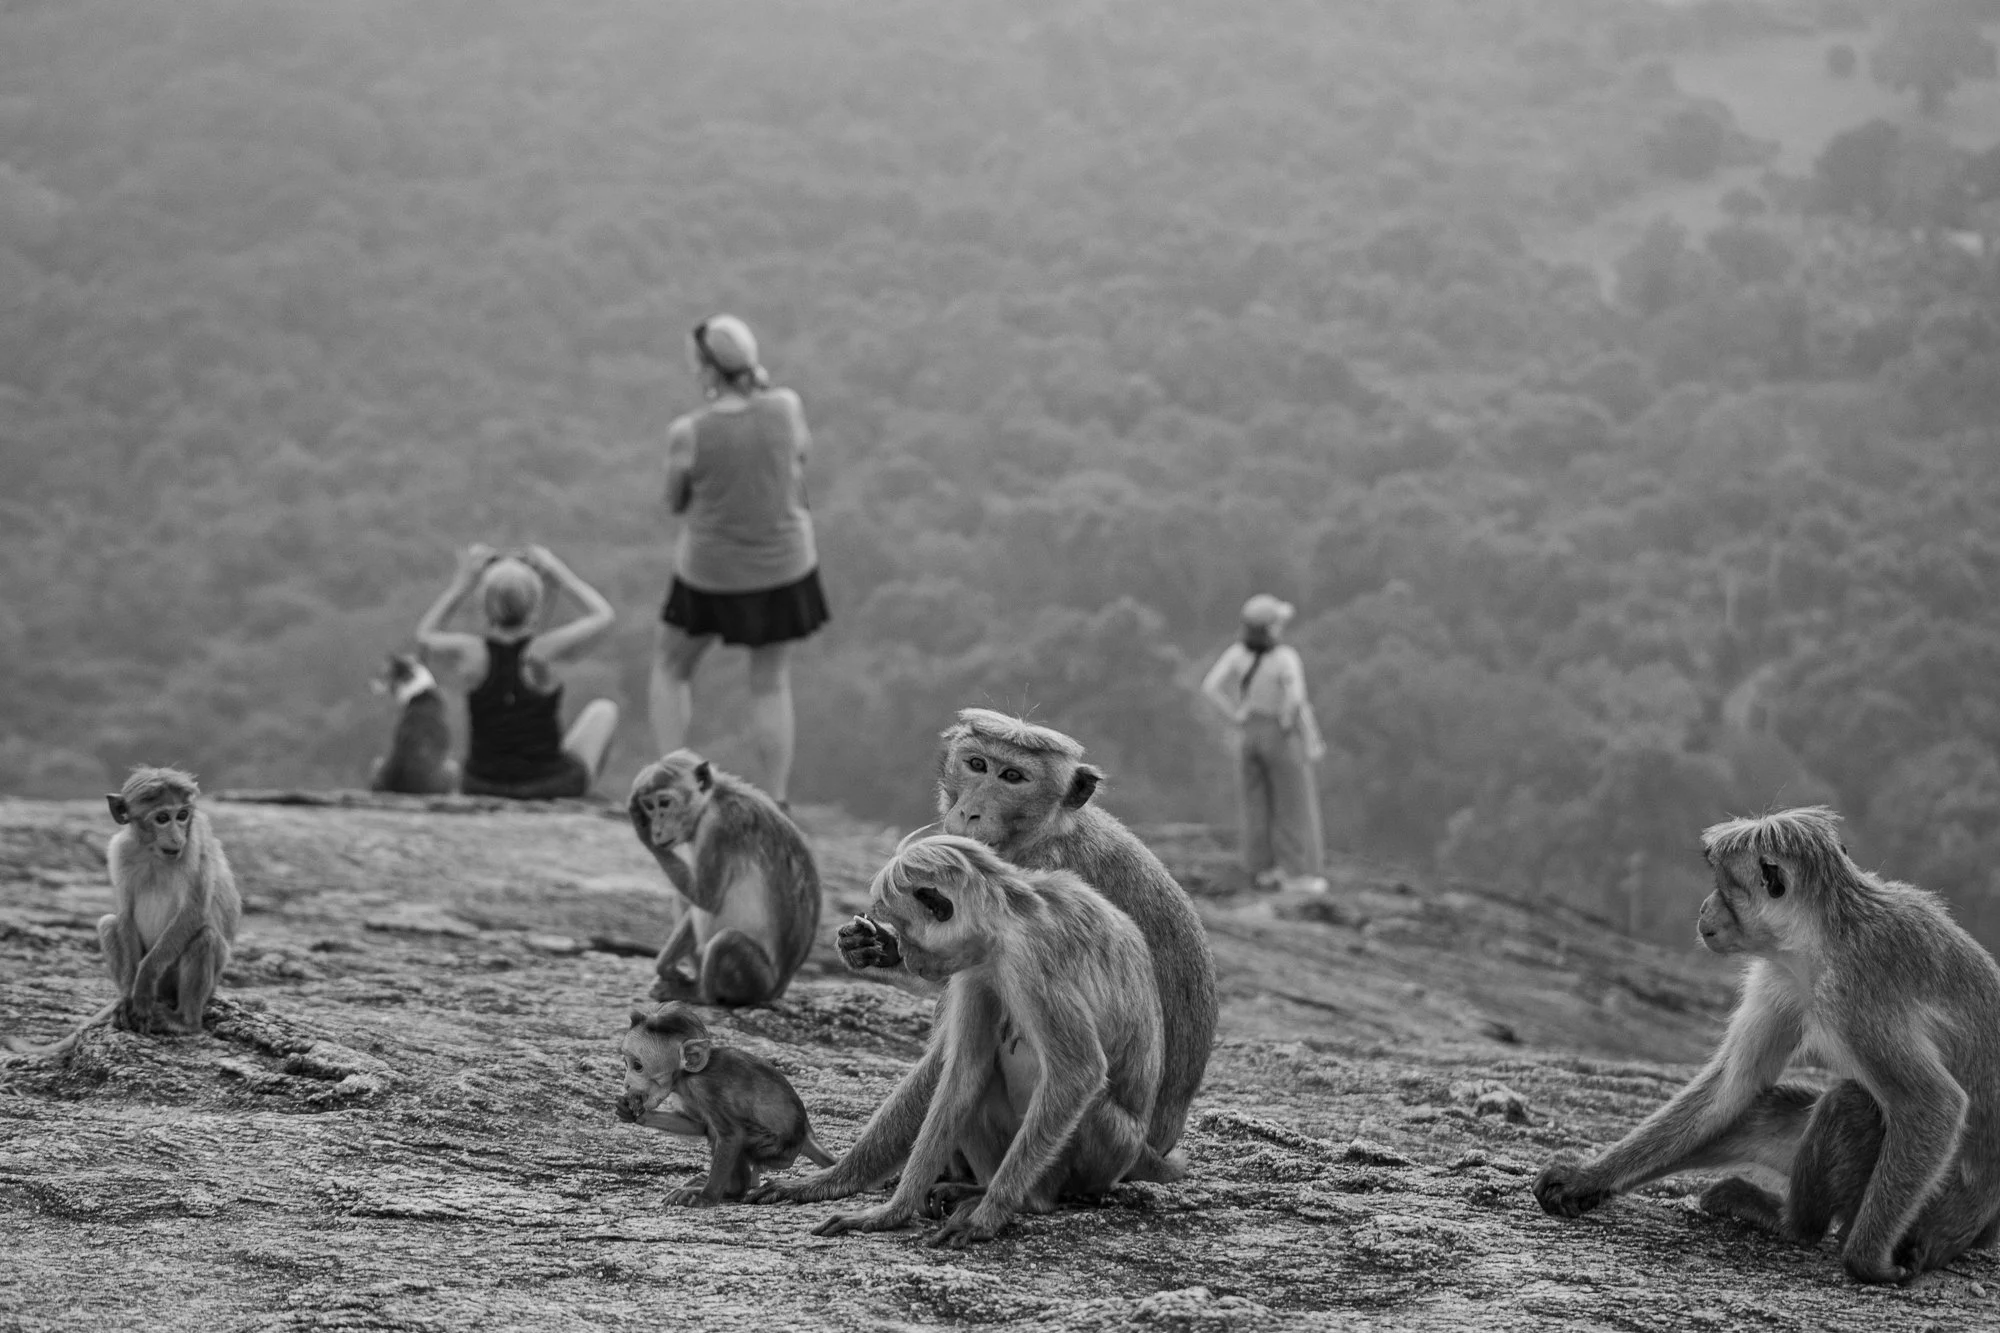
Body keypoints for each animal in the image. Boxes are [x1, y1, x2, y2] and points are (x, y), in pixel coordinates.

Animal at [5, 767, 242, 1057]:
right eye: (162, 818)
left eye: (183, 815)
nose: (176, 837)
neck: (153, 851)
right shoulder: (120, 850)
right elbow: (125, 914)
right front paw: (130, 993)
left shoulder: (194, 844)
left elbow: (193, 912)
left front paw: (143, 981)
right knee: (109, 924)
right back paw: (126, 1002)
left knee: (206, 937)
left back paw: (183, 1021)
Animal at [616, 1002, 834, 1205]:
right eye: (626, 1064)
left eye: (638, 1066)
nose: (626, 1084)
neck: (685, 1077)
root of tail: (806, 1132)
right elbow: (697, 1125)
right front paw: (634, 1113)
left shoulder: (707, 1089)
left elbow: (732, 1136)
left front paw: (705, 1198)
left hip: (777, 1150)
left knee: (734, 1138)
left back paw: (732, 1191)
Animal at [627, 749, 822, 1006]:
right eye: (649, 806)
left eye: (665, 803)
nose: (656, 830)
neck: (713, 800)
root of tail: (779, 990)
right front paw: (664, 966)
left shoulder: (718, 828)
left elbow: (706, 898)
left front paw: (643, 834)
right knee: (684, 901)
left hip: (759, 982)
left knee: (726, 941)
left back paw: (700, 995)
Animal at [796, 835, 1164, 1247]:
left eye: (907, 932)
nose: (905, 953)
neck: (1008, 914)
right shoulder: (976, 965)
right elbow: (963, 1074)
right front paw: (890, 1210)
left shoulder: (1030, 960)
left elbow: (1079, 1073)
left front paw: (985, 1218)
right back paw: (973, 1189)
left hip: (1106, 1144)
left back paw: (1024, 1200)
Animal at [1534, 807, 2000, 1284]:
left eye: (1724, 886)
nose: (1703, 907)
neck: (1824, 934)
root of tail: (1981, 1229)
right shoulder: (1781, 975)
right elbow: (1731, 1086)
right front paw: (1586, 1177)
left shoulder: (1854, 991)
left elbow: (1935, 1104)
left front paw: (1867, 1260)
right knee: (1765, 1111)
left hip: (1928, 1212)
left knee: (1848, 1104)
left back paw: (1793, 1226)